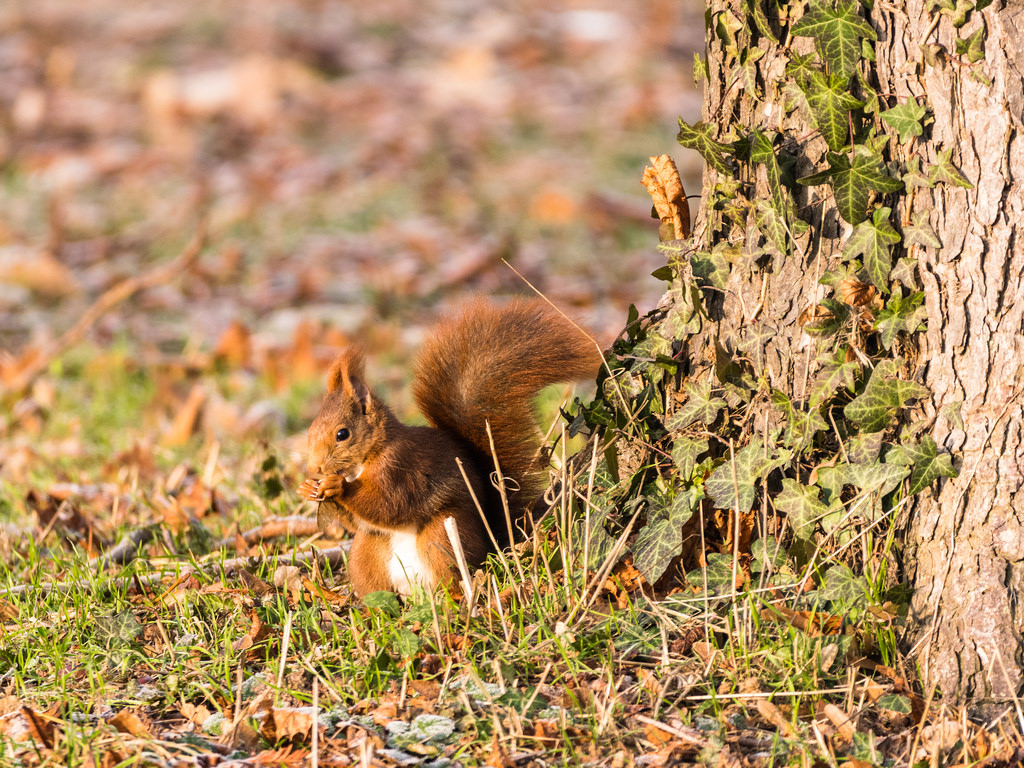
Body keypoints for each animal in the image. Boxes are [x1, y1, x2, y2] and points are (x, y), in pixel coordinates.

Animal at [296, 296, 598, 598]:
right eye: (310, 430)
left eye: (342, 434)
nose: (315, 467)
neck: (367, 457)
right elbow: (359, 521)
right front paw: (308, 488)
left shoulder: (402, 466)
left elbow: (388, 504)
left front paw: (338, 487)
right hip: (367, 551)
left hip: (443, 534)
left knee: (451, 574)